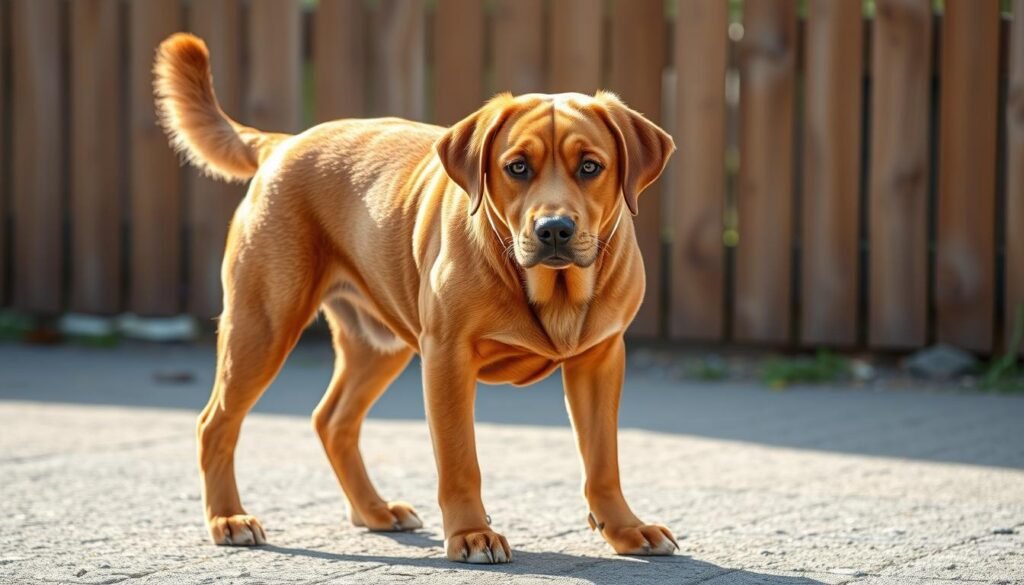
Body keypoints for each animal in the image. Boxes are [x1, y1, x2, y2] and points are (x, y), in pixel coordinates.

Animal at [155, 34, 675, 565]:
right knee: (216, 423)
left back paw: (373, 510)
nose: (554, 229)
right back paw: (228, 517)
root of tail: (284, 143)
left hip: (378, 344)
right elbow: (460, 458)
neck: (552, 290)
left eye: (590, 166)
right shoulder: (447, 357)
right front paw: (471, 532)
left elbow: (603, 460)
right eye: (517, 167)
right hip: (262, 326)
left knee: (333, 421)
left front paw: (625, 527)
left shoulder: (600, 360)